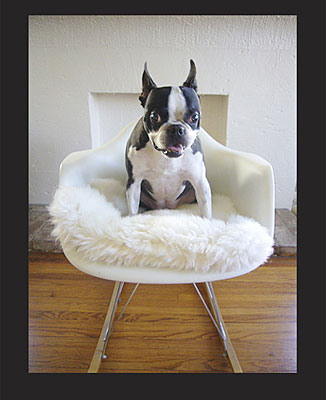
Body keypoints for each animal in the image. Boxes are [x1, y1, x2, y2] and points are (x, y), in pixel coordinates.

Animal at [125, 60, 211, 219]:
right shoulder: (134, 182)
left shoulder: (200, 182)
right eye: (154, 117)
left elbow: (206, 211)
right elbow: (133, 210)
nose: (176, 129)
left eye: (194, 117)